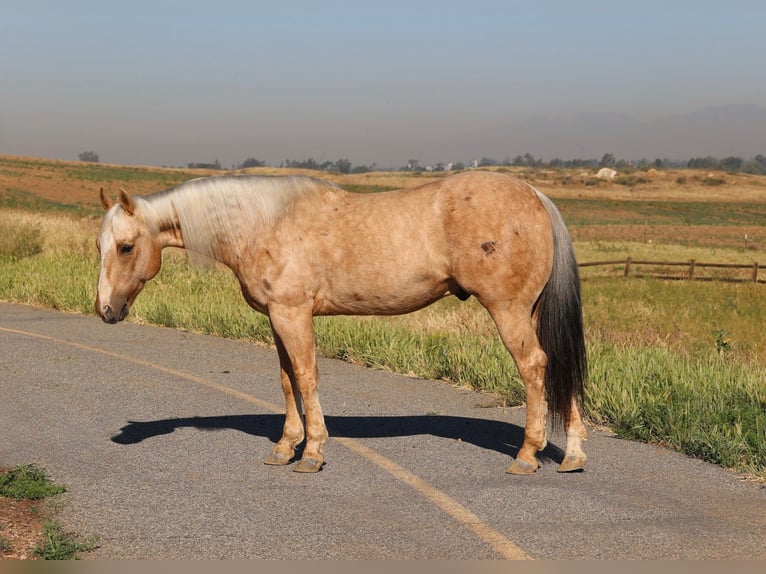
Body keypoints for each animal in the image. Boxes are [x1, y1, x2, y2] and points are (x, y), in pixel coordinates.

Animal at [96, 171, 588, 475]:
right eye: (100, 244)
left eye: (125, 247)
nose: (105, 310)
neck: (262, 223)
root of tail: (536, 196)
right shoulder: (278, 319)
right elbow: (287, 380)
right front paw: (284, 447)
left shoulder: (293, 314)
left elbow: (307, 377)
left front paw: (312, 451)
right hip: (532, 311)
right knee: (556, 367)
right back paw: (573, 455)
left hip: (508, 310)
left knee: (534, 367)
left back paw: (527, 454)